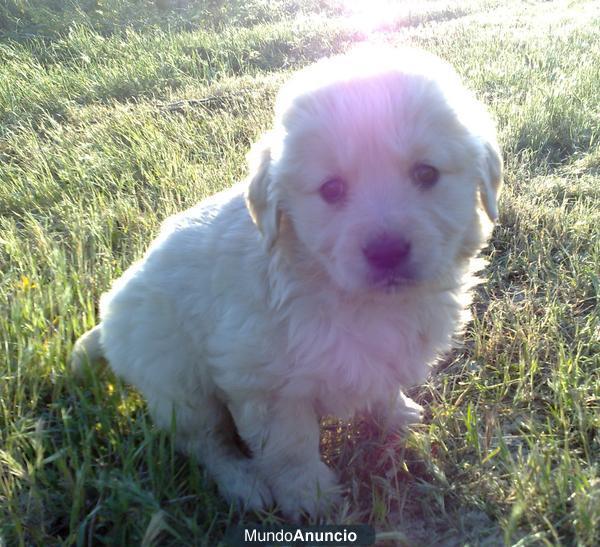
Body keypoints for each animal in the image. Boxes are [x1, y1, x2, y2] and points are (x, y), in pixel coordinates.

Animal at [71, 46, 502, 520]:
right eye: (331, 189)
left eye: (426, 174)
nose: (387, 251)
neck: (351, 297)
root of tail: (110, 314)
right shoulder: (264, 384)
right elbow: (290, 448)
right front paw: (310, 499)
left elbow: (383, 386)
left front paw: (397, 416)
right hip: (178, 382)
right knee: (203, 442)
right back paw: (243, 484)